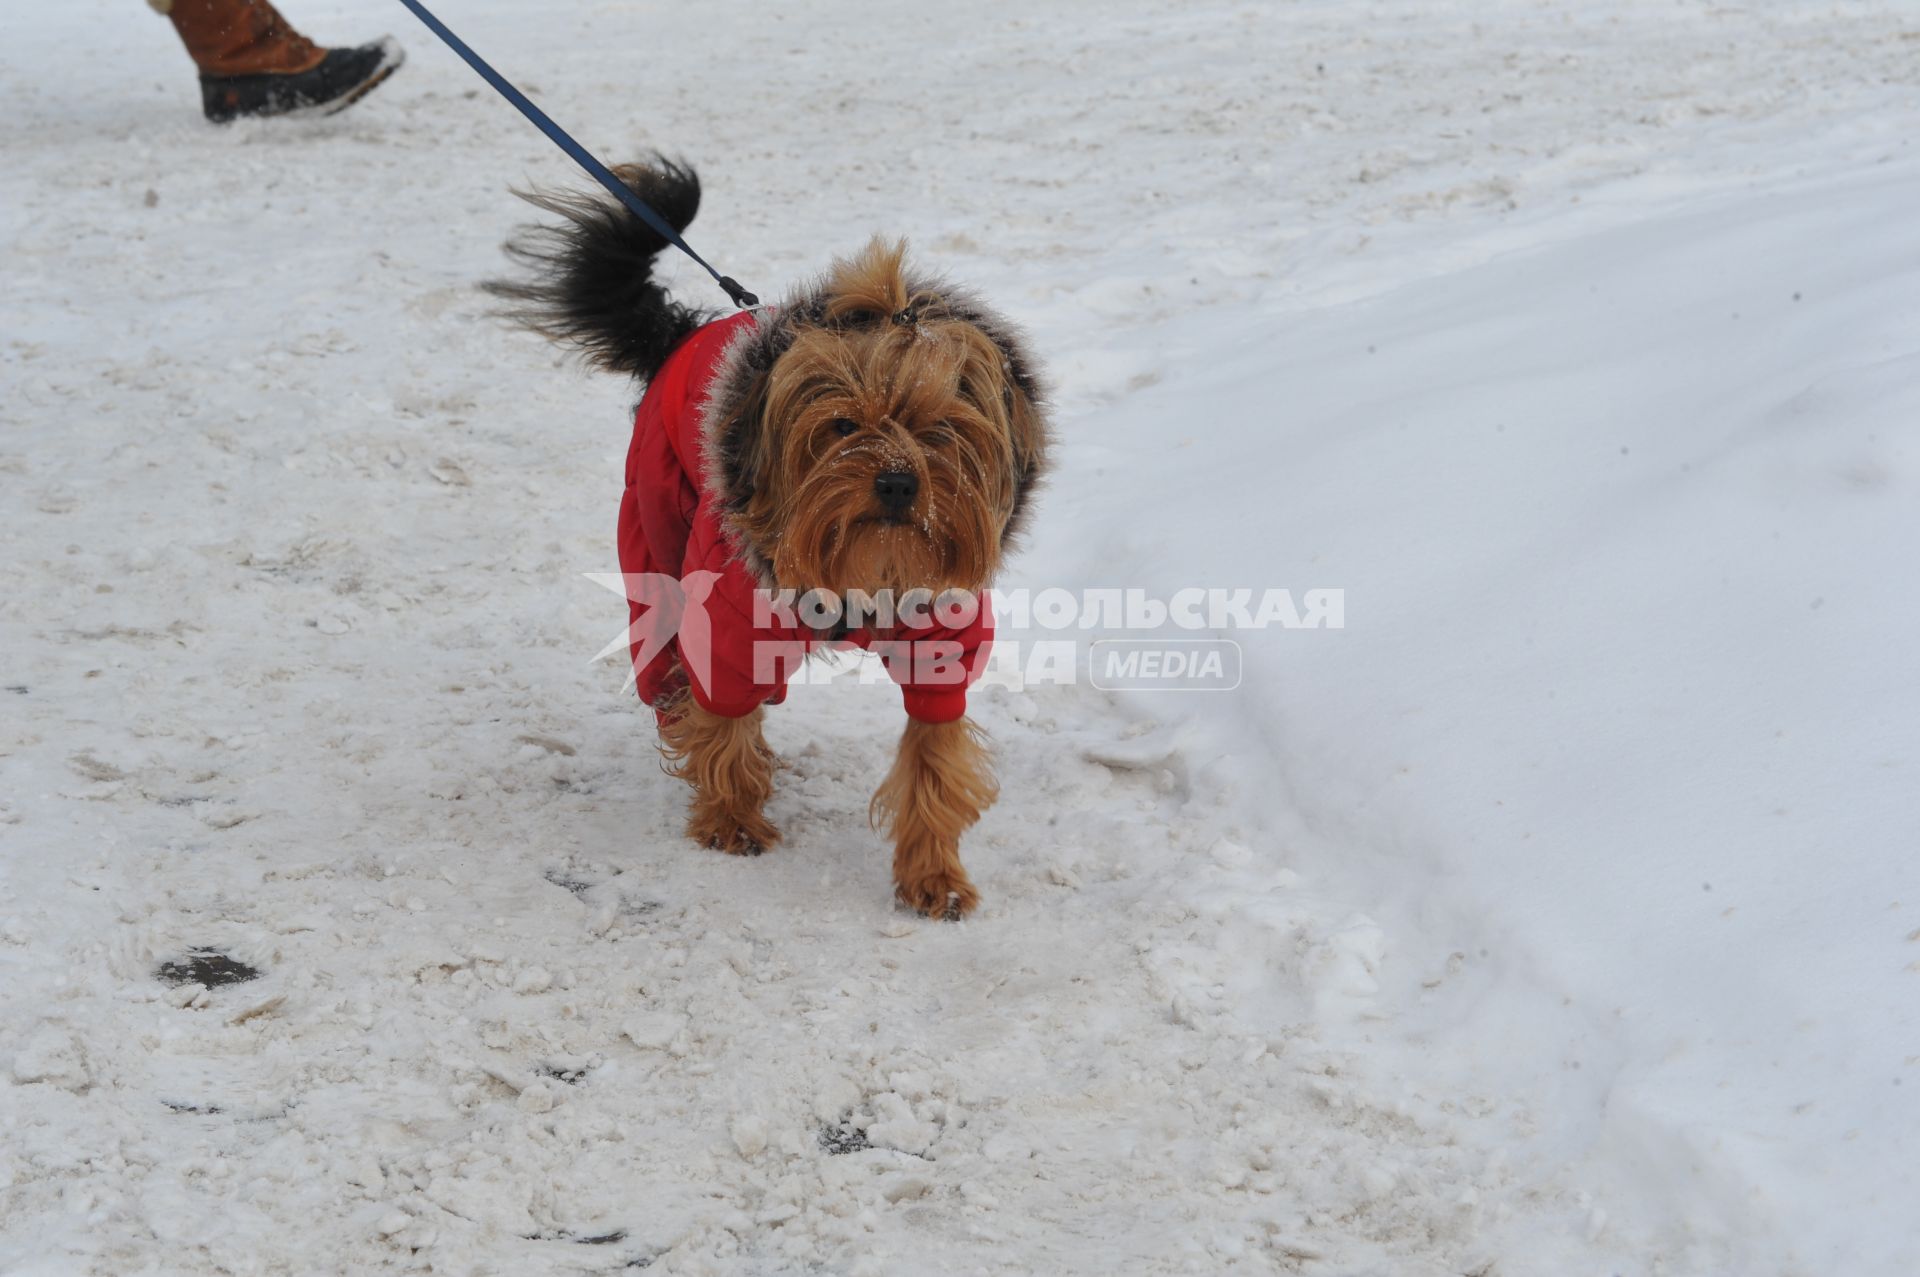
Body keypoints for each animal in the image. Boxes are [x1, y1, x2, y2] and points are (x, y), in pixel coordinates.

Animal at [487, 162, 1044, 917]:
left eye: (937, 429)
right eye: (843, 426)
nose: (900, 483)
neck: (860, 568)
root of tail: (680, 334)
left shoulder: (943, 634)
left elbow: (933, 756)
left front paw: (933, 874)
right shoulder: (728, 615)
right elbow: (724, 710)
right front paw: (730, 815)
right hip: (655, 530)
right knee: (664, 648)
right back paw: (677, 713)